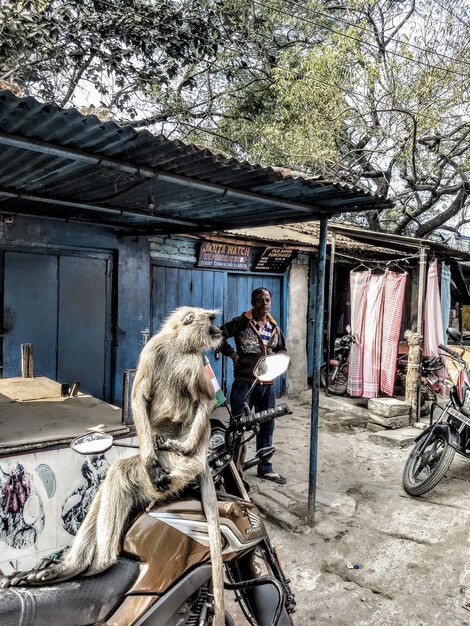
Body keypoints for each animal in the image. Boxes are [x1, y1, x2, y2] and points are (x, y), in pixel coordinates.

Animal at [0, 306, 226, 624]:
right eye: (212, 320)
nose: (220, 330)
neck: (178, 346)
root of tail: (201, 460)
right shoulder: (153, 349)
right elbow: (140, 397)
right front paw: (150, 460)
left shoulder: (193, 360)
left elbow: (205, 401)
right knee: (117, 476)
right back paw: (72, 567)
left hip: (180, 469)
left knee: (122, 473)